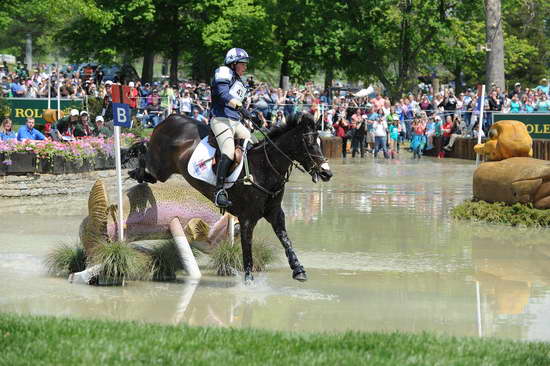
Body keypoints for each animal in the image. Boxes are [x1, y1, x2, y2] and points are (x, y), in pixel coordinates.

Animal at [126, 112, 332, 284]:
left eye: (321, 143)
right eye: (310, 144)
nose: (326, 173)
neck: (265, 168)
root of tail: (170, 118)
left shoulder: (275, 213)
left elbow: (286, 240)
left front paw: (298, 270)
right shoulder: (247, 218)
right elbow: (247, 250)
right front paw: (248, 281)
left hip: (162, 170)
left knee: (148, 169)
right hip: (160, 167)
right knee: (145, 153)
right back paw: (133, 166)